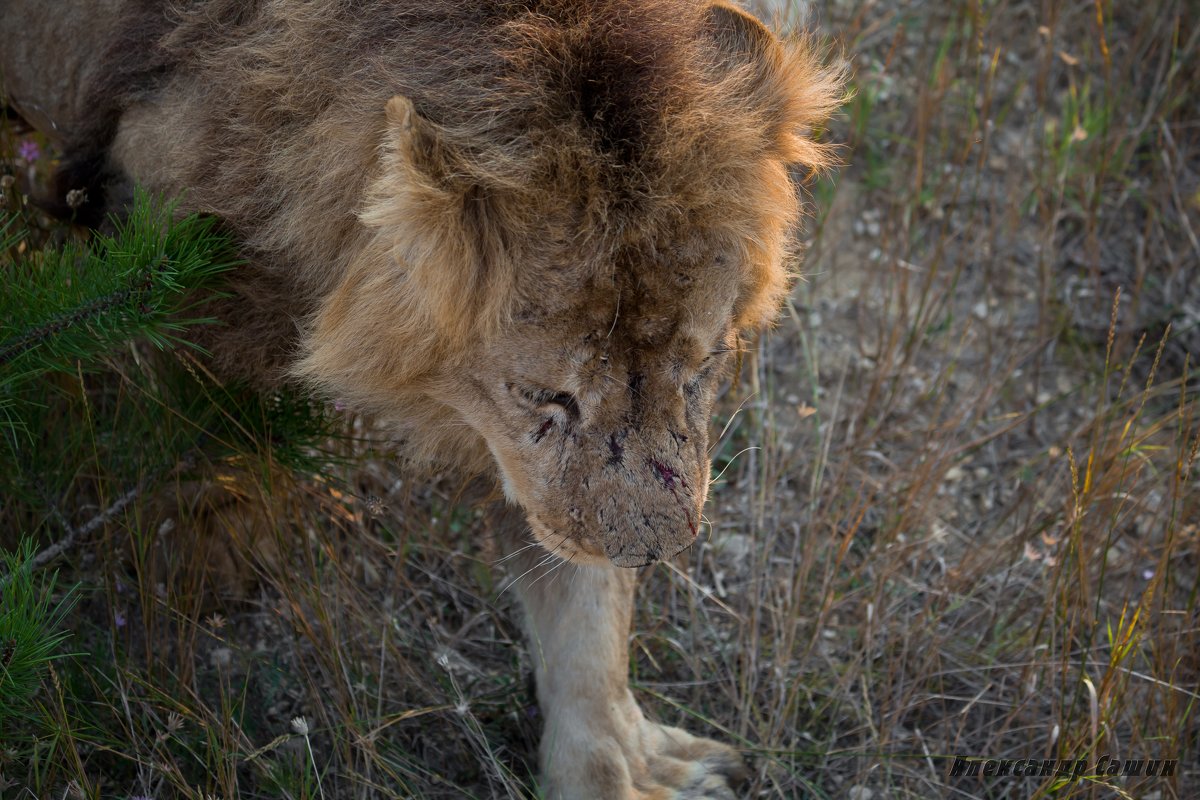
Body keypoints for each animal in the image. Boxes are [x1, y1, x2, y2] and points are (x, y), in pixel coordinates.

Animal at [2, 3, 844, 796]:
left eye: (702, 368)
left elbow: (585, 609)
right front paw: (204, 550)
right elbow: (191, 416)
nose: (652, 551)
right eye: (546, 394)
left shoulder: (538, 472)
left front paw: (612, 766)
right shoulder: (159, 217)